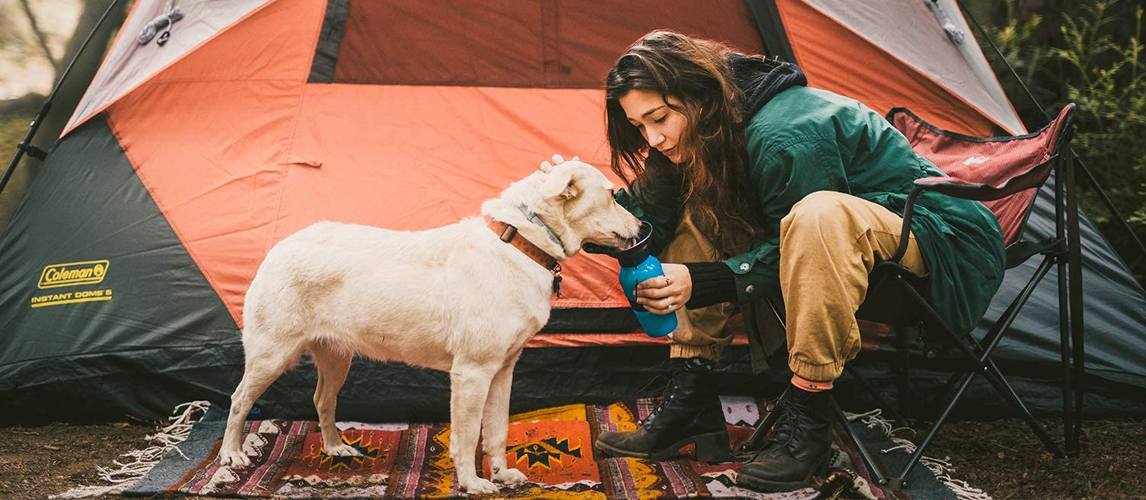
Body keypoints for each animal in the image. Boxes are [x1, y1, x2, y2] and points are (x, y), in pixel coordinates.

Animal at [216, 158, 637, 493]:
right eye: (613, 195)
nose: (641, 224)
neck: (520, 243)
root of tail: (279, 247)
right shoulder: (471, 373)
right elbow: (466, 437)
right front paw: (472, 483)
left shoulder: (504, 370)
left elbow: (497, 431)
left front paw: (502, 475)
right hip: (271, 354)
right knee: (239, 401)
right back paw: (232, 456)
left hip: (337, 358)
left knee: (322, 400)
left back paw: (335, 448)